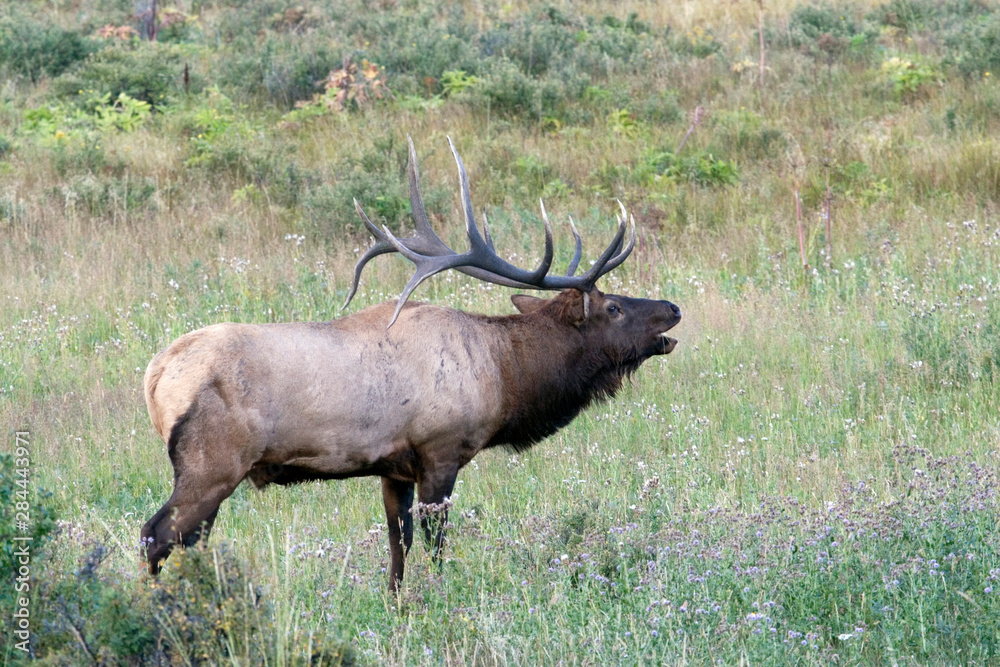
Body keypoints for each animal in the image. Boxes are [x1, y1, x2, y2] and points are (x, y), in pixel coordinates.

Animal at [140, 137, 681, 591]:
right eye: (613, 307)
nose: (673, 308)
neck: (504, 375)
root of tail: (155, 375)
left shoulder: (393, 467)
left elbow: (397, 545)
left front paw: (398, 600)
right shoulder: (440, 452)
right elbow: (436, 542)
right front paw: (441, 594)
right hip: (211, 464)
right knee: (156, 533)